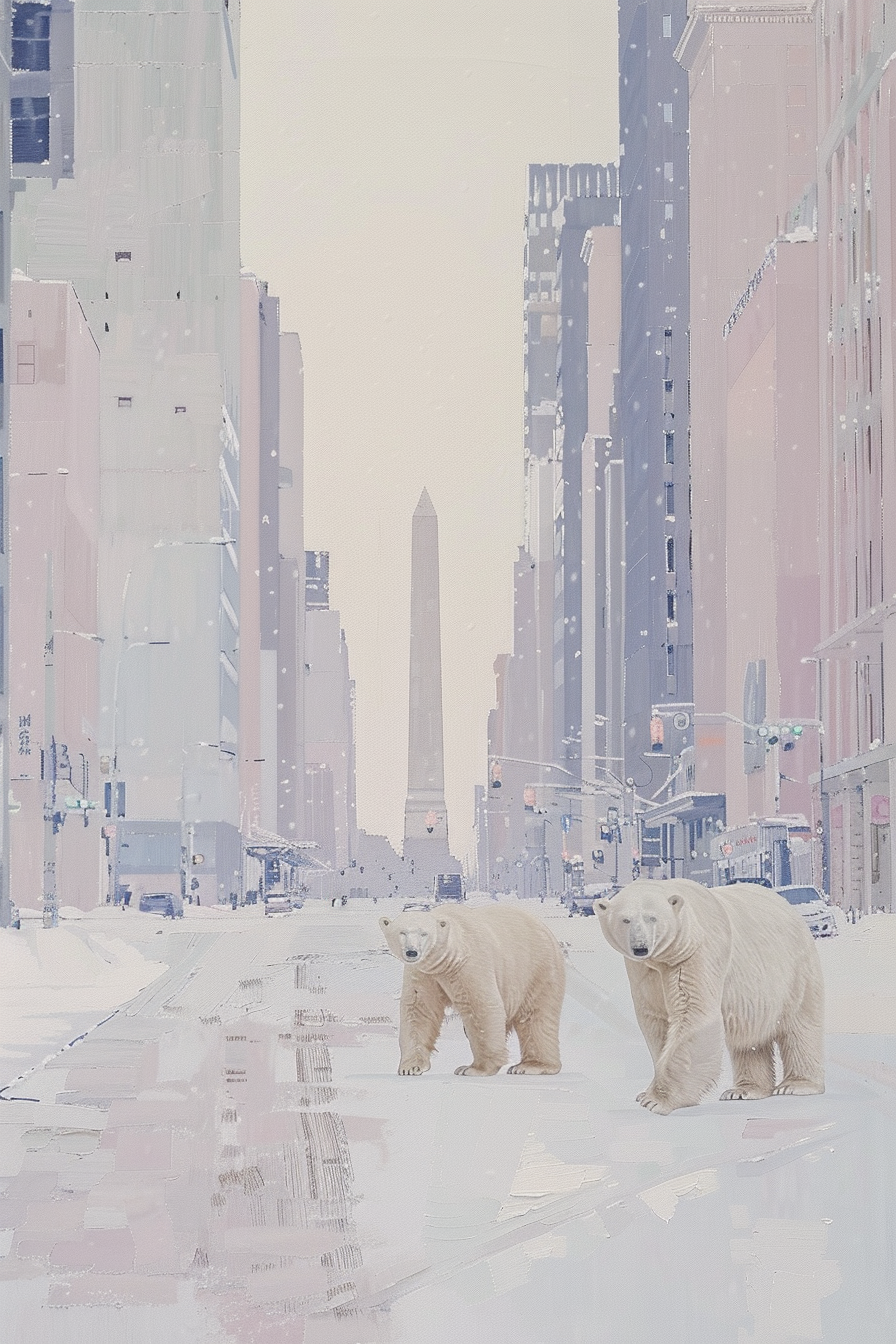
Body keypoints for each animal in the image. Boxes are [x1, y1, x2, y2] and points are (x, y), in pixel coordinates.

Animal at [381, 903, 564, 1080]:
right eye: (402, 932)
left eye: (424, 933)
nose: (412, 952)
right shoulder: (423, 973)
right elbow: (419, 1009)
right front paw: (410, 1067)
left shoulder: (470, 963)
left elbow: (482, 1007)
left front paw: (475, 1069)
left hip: (534, 968)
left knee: (535, 1016)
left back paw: (531, 1065)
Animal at [596, 876, 827, 1118]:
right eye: (625, 920)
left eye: (652, 917)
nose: (640, 948)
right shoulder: (644, 970)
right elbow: (657, 1019)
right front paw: (647, 1093)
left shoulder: (696, 953)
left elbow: (693, 1013)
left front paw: (655, 1100)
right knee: (749, 1040)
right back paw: (744, 1090)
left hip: (793, 971)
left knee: (799, 1025)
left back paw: (796, 1085)